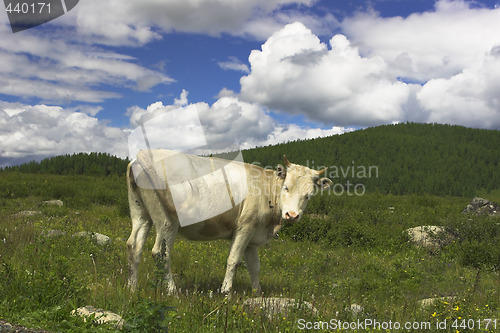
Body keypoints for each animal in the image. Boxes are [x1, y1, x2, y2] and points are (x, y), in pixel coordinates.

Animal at [127, 149, 332, 292]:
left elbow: (255, 267)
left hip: (141, 214)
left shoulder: (253, 237)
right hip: (167, 220)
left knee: (134, 245)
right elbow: (234, 260)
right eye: (286, 187)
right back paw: (172, 290)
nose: (292, 215)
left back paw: (132, 287)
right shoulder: (245, 227)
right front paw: (226, 291)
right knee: (160, 253)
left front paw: (257, 293)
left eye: (308, 195)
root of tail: (142, 155)